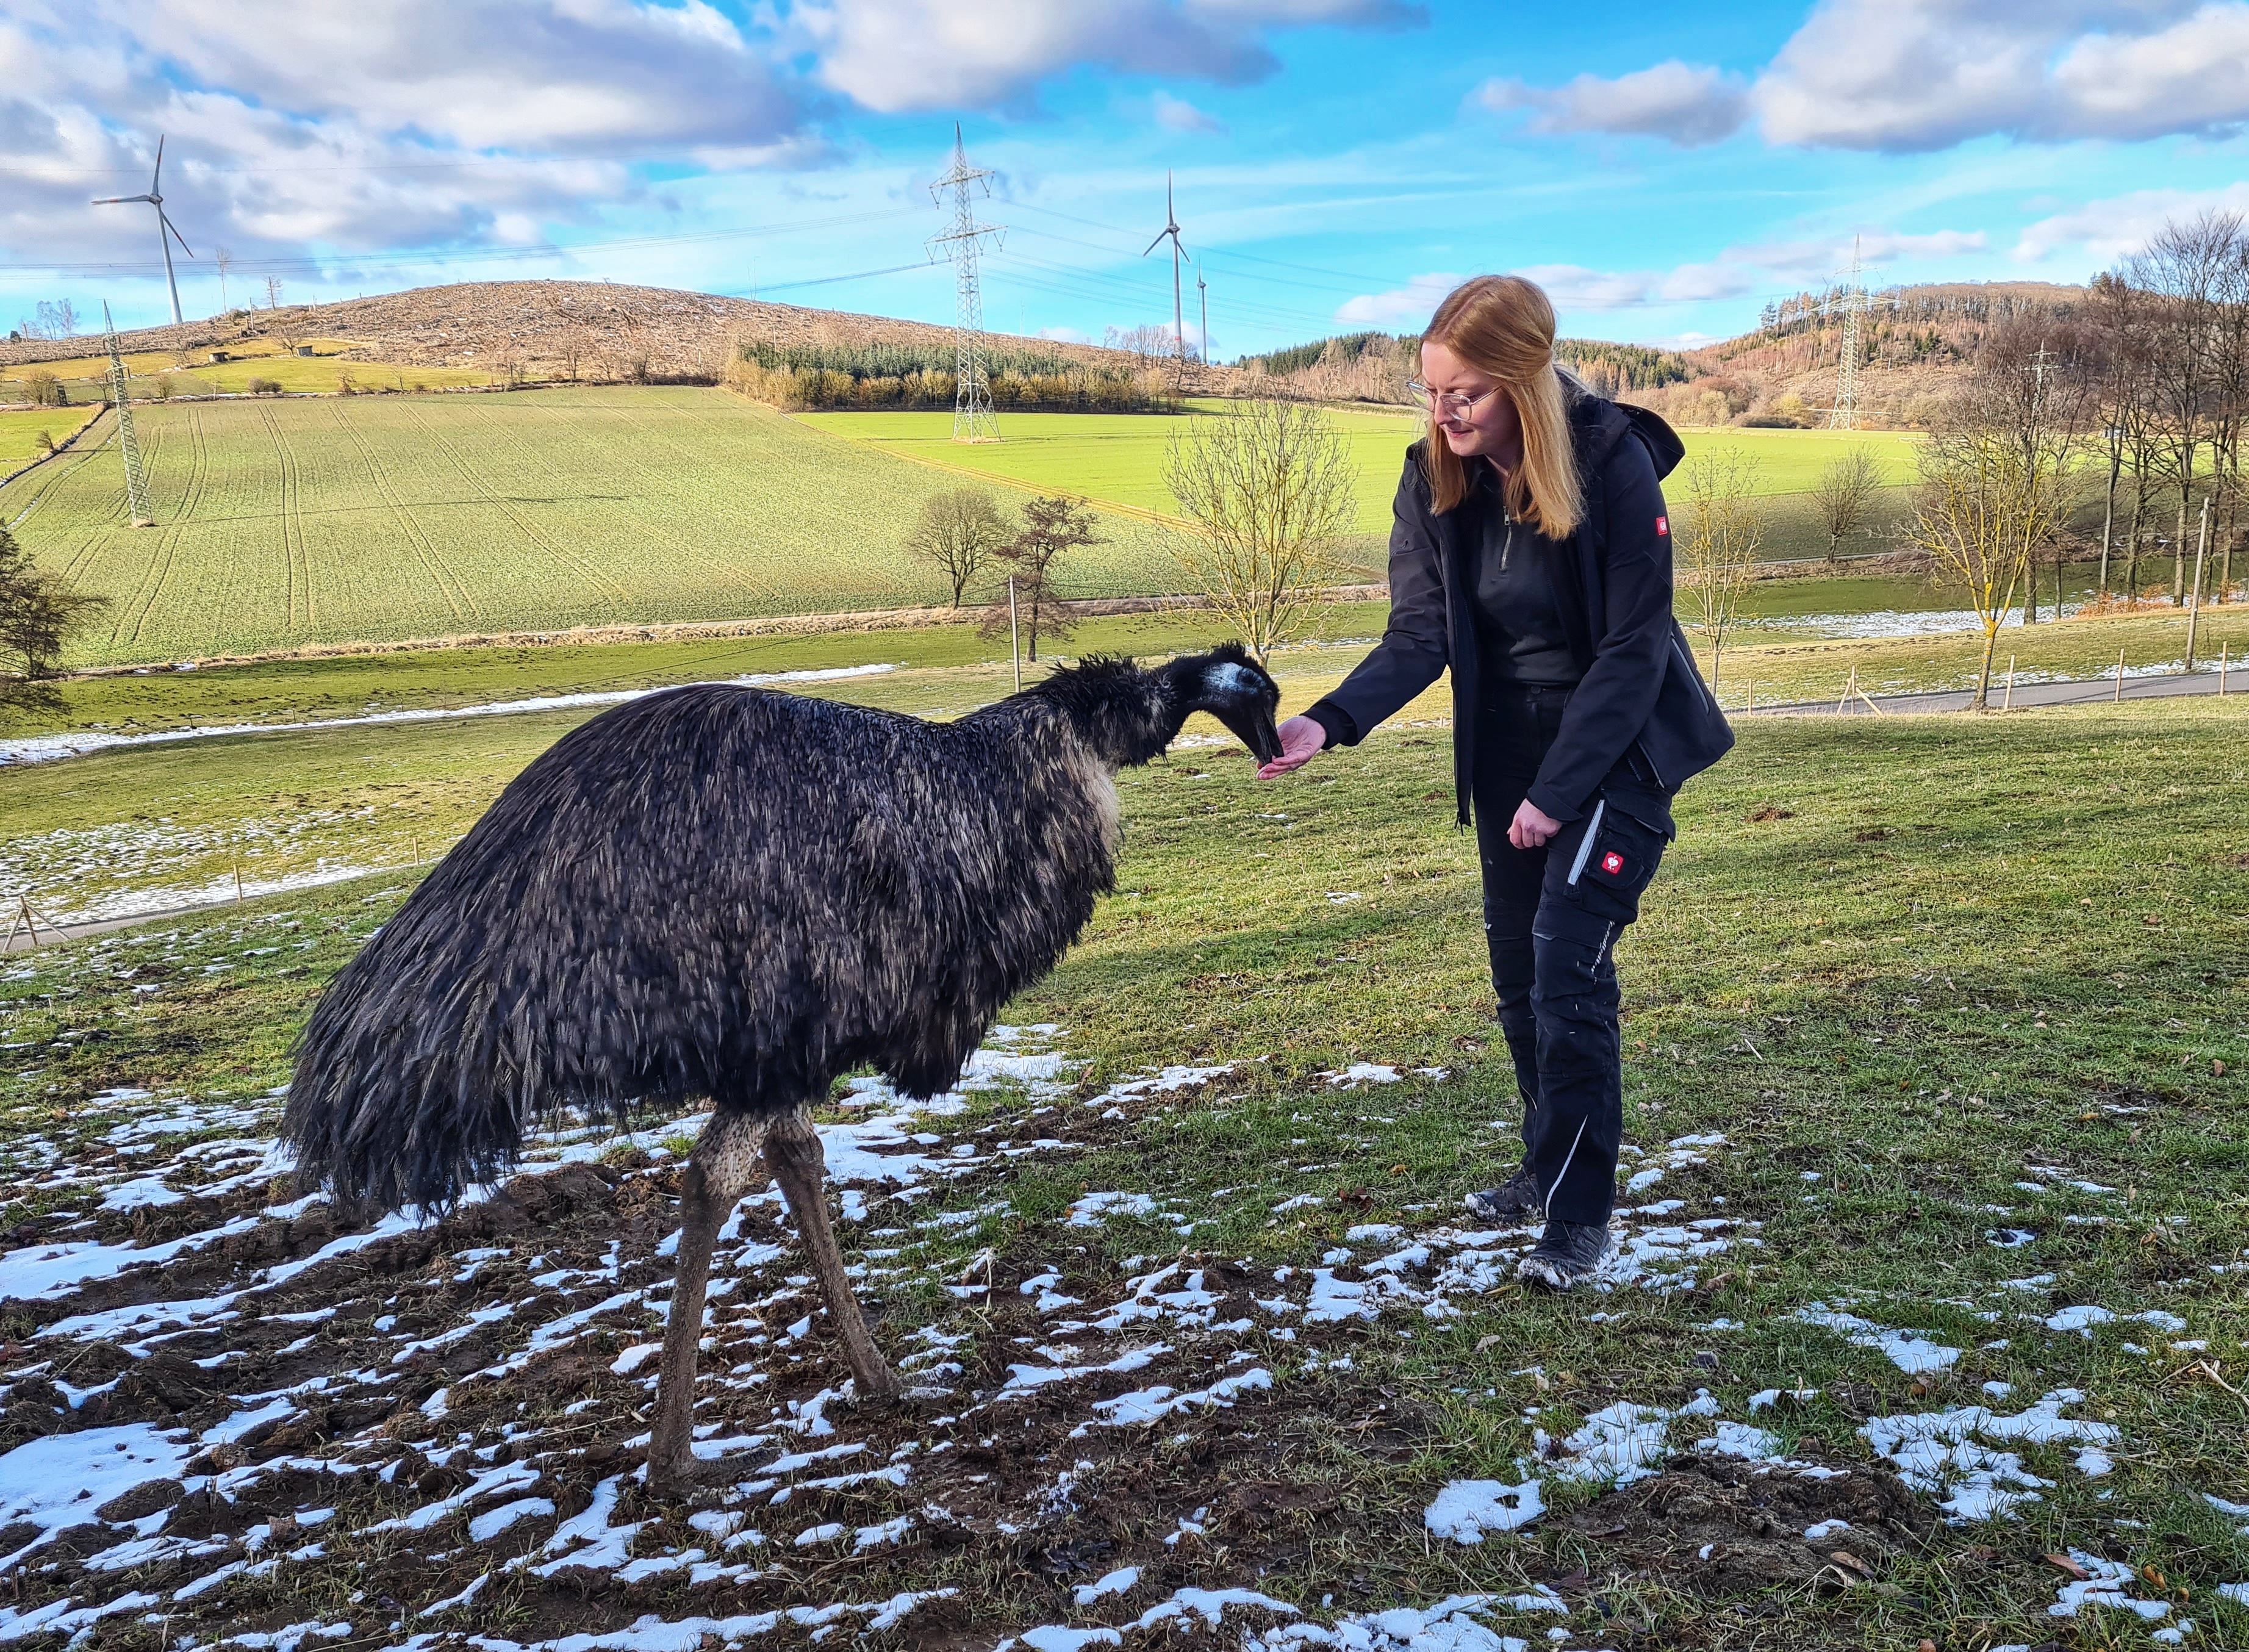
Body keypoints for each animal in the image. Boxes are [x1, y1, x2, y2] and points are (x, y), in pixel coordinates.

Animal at [283, 644, 1282, 1490]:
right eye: (1264, 697)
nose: (1279, 749)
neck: (1028, 760)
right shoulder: (796, 1034)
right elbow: (750, 1166)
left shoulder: (785, 1055)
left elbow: (800, 1158)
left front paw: (878, 1377)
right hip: (759, 1008)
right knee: (708, 1176)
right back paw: (673, 1461)